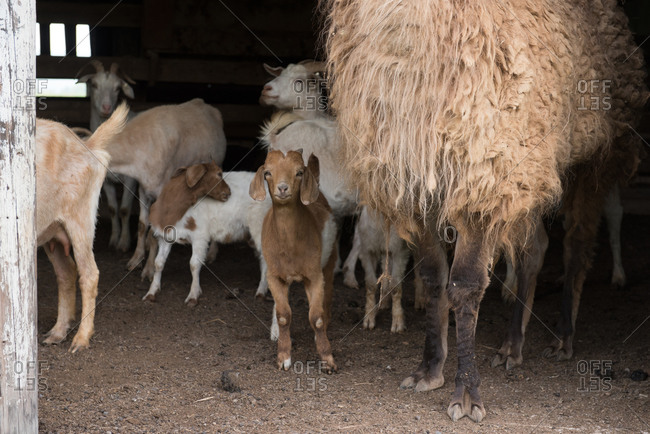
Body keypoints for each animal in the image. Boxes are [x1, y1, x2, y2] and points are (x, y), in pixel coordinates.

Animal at [37, 103, 128, 352]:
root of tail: (88, 144)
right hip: (52, 231)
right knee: (66, 272)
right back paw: (58, 332)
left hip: (80, 219)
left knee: (89, 274)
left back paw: (81, 339)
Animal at [77, 60, 139, 252]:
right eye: (94, 85)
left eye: (118, 88)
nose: (106, 107)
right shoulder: (106, 181)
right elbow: (113, 208)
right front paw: (114, 239)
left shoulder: (130, 180)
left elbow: (125, 209)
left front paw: (124, 243)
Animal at [144, 165, 272, 306]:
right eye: (218, 174)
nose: (228, 192)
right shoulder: (165, 237)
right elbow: (158, 263)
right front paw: (151, 292)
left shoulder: (200, 236)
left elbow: (194, 264)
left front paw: (193, 295)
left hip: (259, 225)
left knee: (267, 258)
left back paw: (261, 292)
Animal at [250, 150, 338, 373]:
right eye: (267, 173)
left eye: (298, 172)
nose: (282, 188)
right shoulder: (274, 276)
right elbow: (283, 315)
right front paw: (283, 357)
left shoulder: (314, 275)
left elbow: (316, 318)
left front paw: (327, 359)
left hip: (331, 258)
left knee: (328, 291)